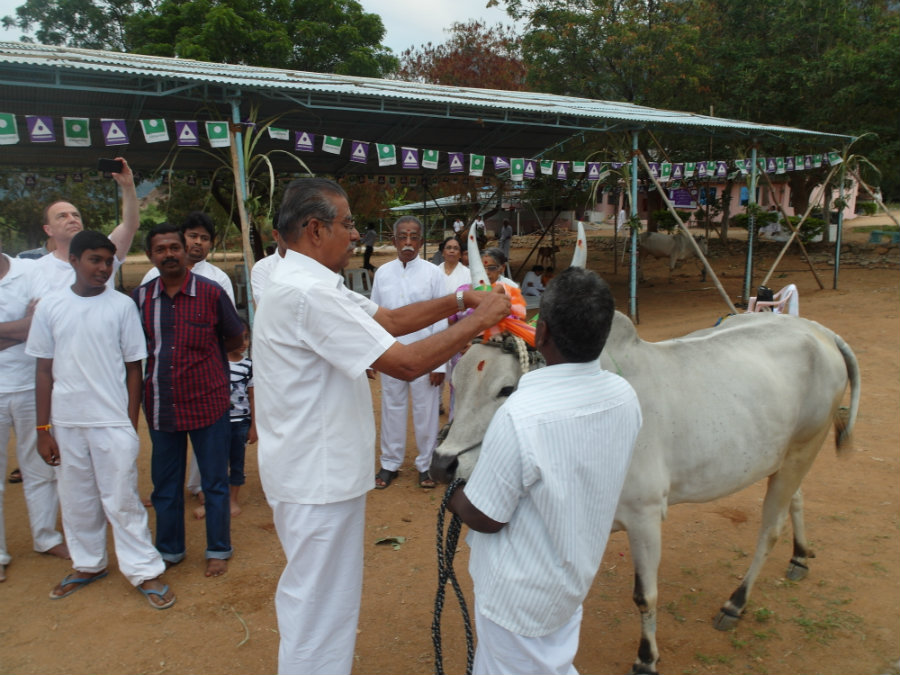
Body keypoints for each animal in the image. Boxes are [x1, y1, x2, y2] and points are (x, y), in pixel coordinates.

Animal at [431, 307, 860, 675]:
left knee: (770, 529)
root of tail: (819, 331)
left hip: (804, 448)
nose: (442, 463)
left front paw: (646, 658)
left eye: (506, 389)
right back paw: (800, 555)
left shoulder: (645, 516)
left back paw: (736, 603)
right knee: (796, 500)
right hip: (786, 457)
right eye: (455, 383)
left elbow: (645, 595)